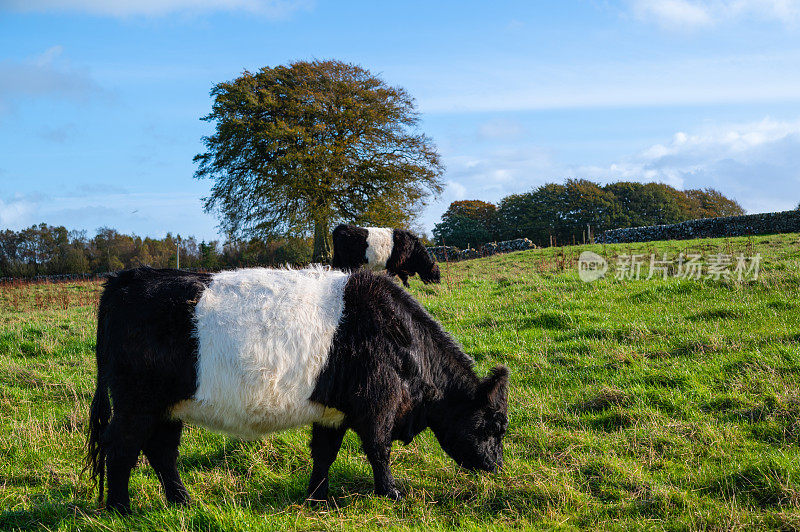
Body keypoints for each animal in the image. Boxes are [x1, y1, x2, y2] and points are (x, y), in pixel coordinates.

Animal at [86, 266, 506, 516]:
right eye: (493, 425)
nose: (497, 466)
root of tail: (127, 278)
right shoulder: (377, 405)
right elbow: (378, 450)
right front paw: (391, 493)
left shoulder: (334, 412)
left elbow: (324, 453)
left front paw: (316, 498)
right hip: (136, 404)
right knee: (121, 448)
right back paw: (120, 509)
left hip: (167, 407)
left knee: (162, 452)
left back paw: (182, 501)